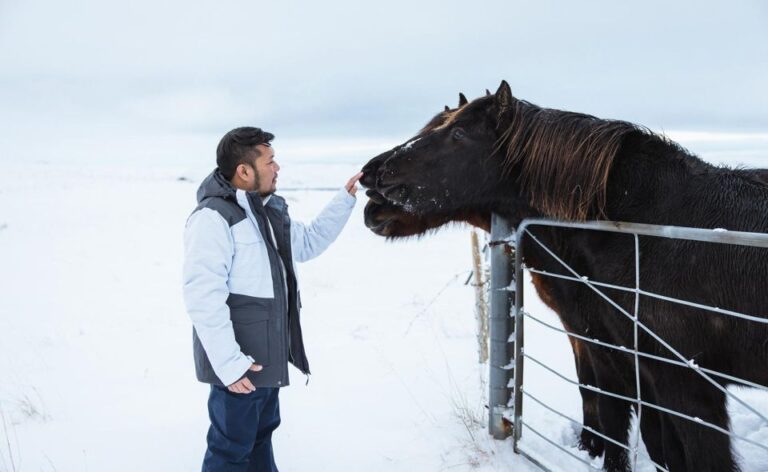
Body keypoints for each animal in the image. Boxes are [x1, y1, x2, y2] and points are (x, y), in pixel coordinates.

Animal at [360, 81, 768, 472]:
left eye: (457, 133)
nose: (371, 177)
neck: (645, 233)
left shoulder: (681, 382)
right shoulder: (607, 347)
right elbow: (616, 413)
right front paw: (589, 447)